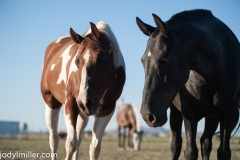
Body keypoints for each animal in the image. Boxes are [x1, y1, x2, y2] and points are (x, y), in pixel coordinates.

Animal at [40, 21, 125, 160]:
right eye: (76, 61)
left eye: (101, 59)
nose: (85, 102)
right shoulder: (70, 103)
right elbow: (71, 144)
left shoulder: (107, 109)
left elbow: (94, 148)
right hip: (52, 103)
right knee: (54, 140)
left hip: (82, 113)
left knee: (79, 138)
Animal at [137, 9, 240, 160]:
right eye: (143, 61)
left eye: (163, 61)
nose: (147, 116)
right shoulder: (188, 113)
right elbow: (190, 152)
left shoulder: (228, 113)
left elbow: (223, 152)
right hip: (175, 112)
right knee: (176, 145)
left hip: (212, 117)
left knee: (205, 143)